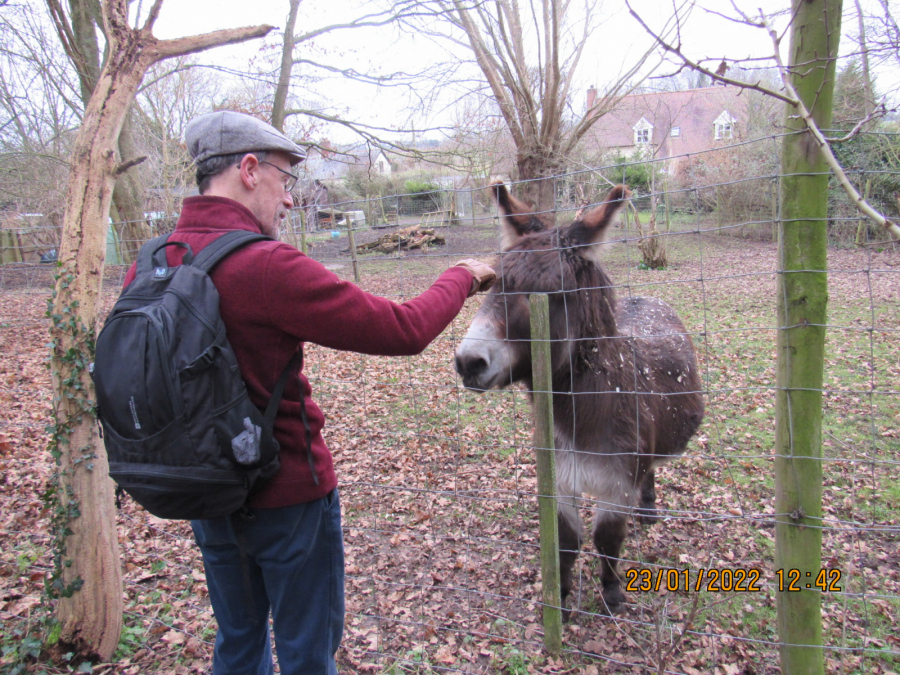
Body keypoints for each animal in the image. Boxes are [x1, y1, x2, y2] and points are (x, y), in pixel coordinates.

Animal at [454, 183, 704, 615]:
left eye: (552, 294)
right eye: (495, 284)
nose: (469, 362)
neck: (581, 416)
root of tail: (646, 299)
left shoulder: (617, 484)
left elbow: (607, 541)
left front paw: (612, 594)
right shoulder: (560, 479)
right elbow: (567, 542)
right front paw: (563, 598)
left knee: (651, 469)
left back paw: (649, 509)